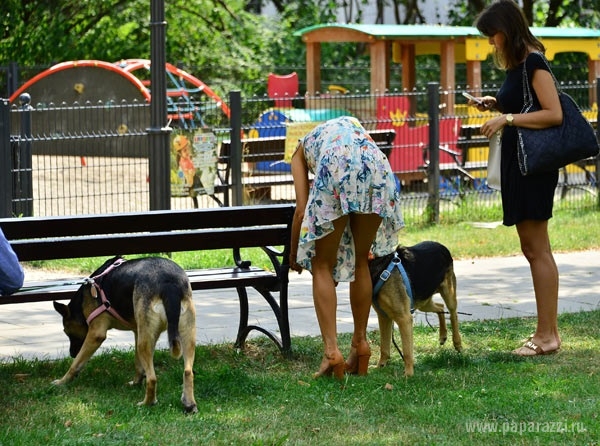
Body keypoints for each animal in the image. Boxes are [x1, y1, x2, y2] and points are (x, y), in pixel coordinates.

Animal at [51, 256, 197, 412]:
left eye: (67, 332)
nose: (72, 353)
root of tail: (168, 282)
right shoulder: (138, 331)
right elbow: (138, 364)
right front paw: (136, 382)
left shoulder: (96, 334)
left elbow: (76, 363)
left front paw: (62, 381)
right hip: (184, 335)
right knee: (188, 371)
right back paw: (189, 404)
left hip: (145, 341)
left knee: (152, 378)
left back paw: (147, 403)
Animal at [368, 242, 462, 378]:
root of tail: (441, 245)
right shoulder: (383, 316)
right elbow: (384, 347)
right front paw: (380, 366)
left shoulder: (404, 318)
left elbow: (407, 351)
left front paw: (408, 374)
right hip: (423, 302)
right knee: (440, 307)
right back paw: (442, 335)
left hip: (448, 293)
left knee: (453, 314)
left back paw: (457, 343)